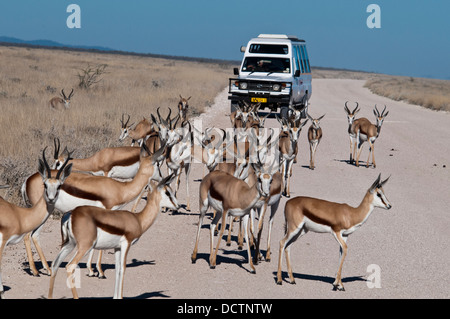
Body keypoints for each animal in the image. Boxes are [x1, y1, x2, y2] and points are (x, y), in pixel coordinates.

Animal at [47, 172, 178, 300]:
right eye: (167, 192)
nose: (178, 205)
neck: (138, 220)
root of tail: (71, 214)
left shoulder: (117, 248)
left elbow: (117, 269)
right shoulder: (126, 244)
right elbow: (123, 269)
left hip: (69, 244)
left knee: (55, 264)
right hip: (85, 247)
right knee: (70, 266)